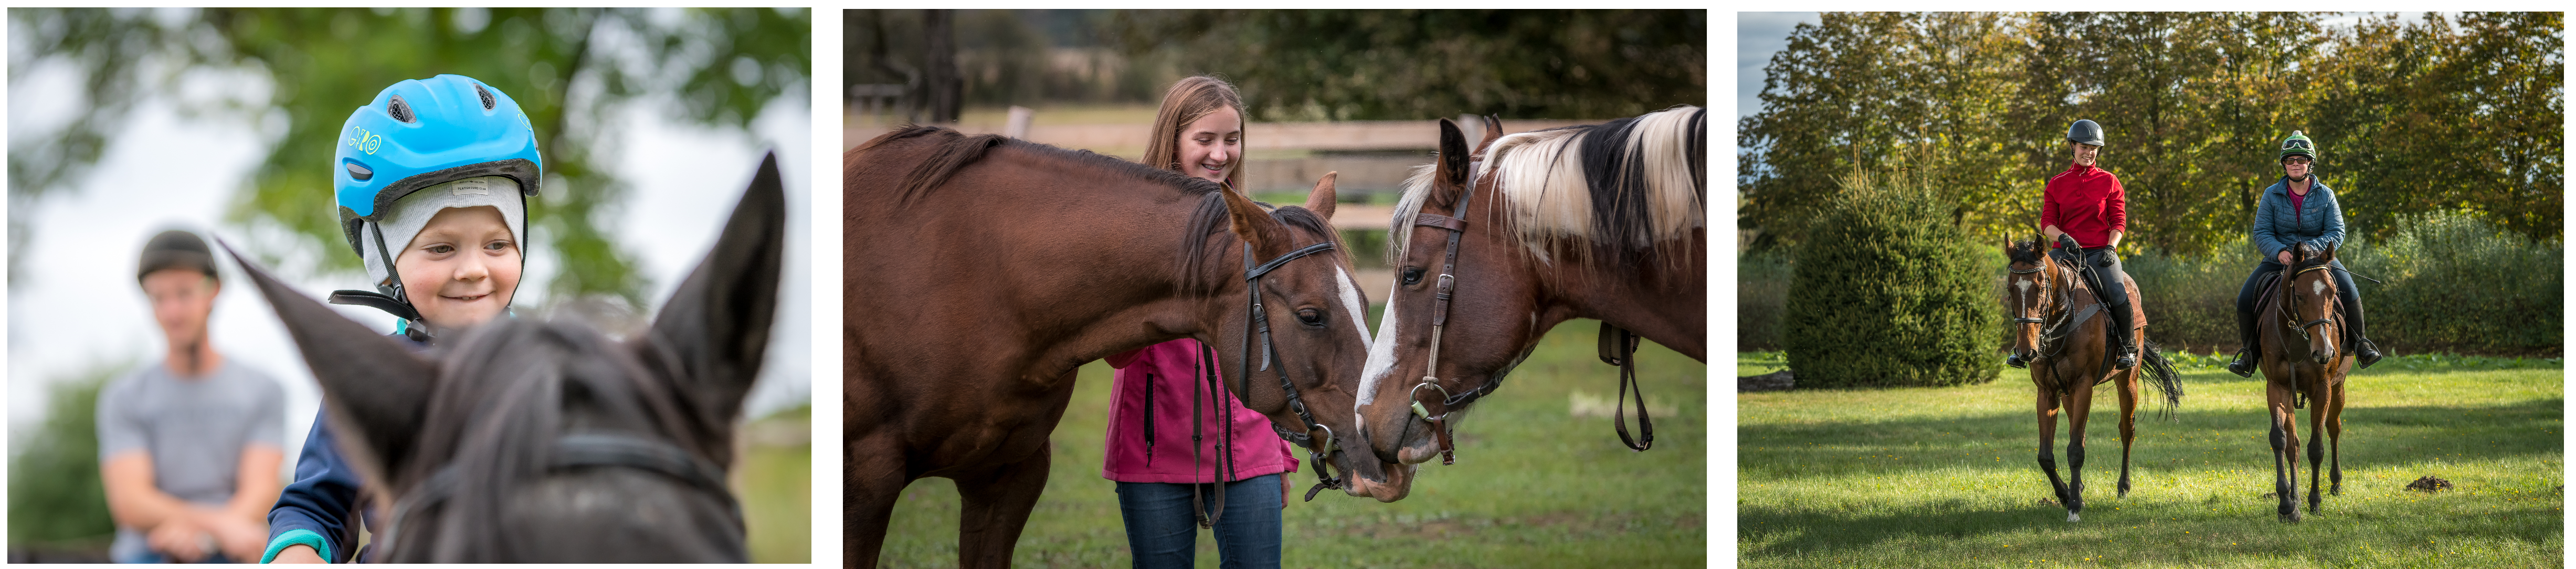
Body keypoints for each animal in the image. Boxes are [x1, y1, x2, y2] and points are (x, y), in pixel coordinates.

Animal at [1999, 235, 2184, 520]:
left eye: (2040, 289)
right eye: (2010, 290)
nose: (2026, 351)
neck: (2061, 322)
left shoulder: (2084, 386)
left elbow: (2075, 450)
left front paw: (2074, 506)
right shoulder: (2047, 392)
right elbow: (2046, 456)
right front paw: (2067, 494)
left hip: (2127, 381)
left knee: (2127, 430)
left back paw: (2123, 487)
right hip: (2068, 395)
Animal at [2256, 242, 2359, 522]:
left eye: (2333, 293)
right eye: (2300, 296)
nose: (2324, 352)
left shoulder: (2322, 390)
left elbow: (2317, 448)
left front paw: (2315, 502)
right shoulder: (2277, 388)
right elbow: (2280, 440)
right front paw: (2287, 505)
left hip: (2338, 389)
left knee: (2334, 430)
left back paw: (2335, 483)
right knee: (2293, 445)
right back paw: (2295, 499)